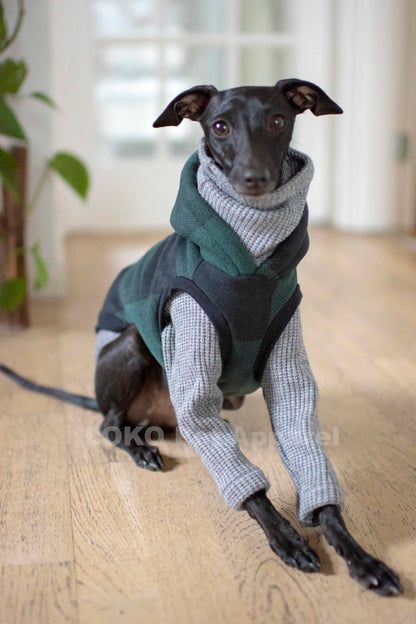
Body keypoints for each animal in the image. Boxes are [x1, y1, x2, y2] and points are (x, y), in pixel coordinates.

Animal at [0, 80, 404, 596]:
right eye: (220, 125)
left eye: (277, 120)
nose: (253, 178)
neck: (251, 254)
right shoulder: (190, 363)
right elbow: (252, 492)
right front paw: (287, 540)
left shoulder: (289, 374)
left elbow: (318, 480)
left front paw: (362, 557)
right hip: (133, 346)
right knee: (109, 424)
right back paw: (141, 448)